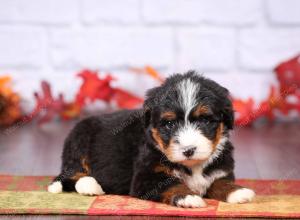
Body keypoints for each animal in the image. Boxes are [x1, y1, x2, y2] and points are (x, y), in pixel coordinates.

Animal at [48, 72, 254, 208]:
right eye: (169, 123)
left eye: (204, 120)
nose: (188, 150)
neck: (192, 165)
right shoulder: (146, 177)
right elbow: (172, 184)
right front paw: (188, 197)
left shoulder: (221, 170)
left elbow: (220, 182)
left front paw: (238, 191)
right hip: (79, 142)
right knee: (69, 175)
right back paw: (91, 186)